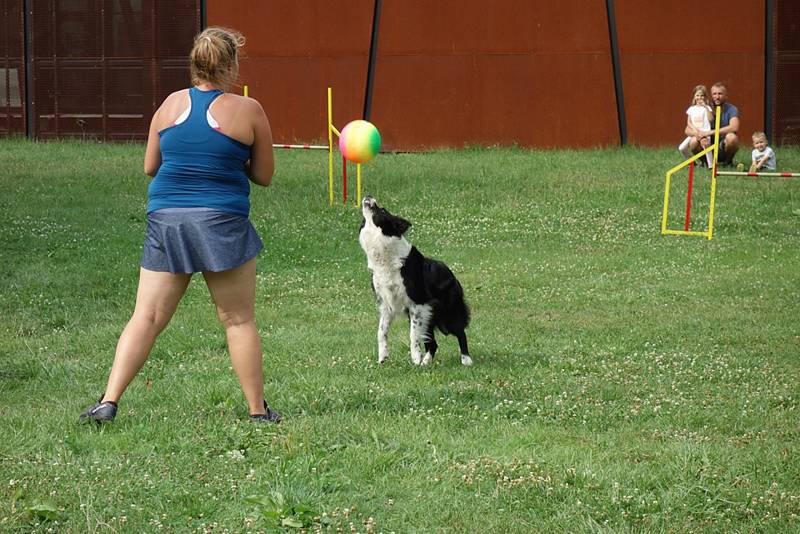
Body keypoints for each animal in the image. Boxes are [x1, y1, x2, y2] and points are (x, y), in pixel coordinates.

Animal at [360, 197, 472, 368]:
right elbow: (381, 332)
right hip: (429, 316)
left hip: (448, 312)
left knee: (460, 332)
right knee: (432, 343)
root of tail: (451, 272)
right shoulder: (386, 305)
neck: (385, 258)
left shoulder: (418, 303)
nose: (368, 196)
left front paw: (415, 358)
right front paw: (383, 357)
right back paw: (426, 362)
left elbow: (413, 335)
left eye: (383, 211)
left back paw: (466, 359)